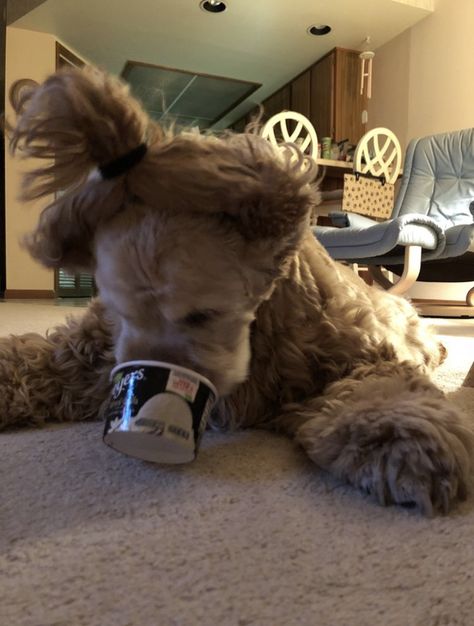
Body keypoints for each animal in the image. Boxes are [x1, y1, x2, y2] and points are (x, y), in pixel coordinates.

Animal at [1, 63, 472, 516]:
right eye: (124, 316)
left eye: (202, 315)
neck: (262, 322)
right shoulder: (93, 349)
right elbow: (36, 359)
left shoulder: (359, 352)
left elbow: (381, 387)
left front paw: (403, 439)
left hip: (404, 318)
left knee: (426, 338)